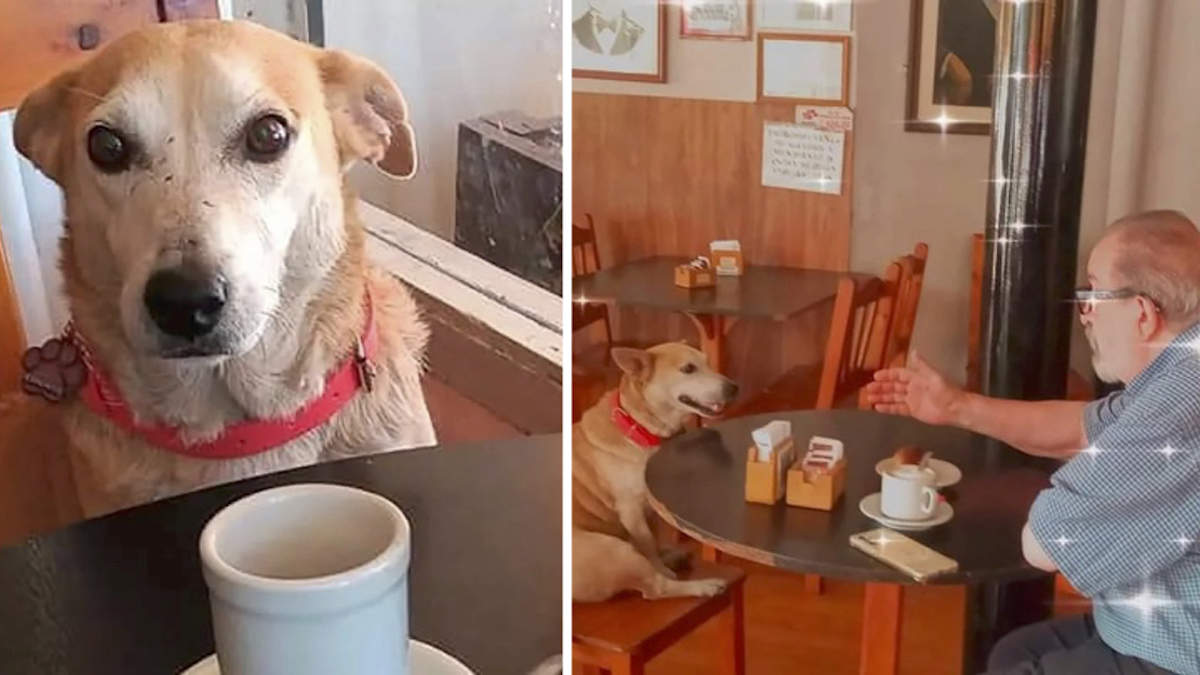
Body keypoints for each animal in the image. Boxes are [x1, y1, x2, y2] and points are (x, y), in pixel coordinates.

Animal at [571, 341, 739, 598]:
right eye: (688, 369)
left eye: (708, 362)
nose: (734, 388)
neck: (639, 427)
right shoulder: (631, 511)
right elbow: (648, 543)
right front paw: (660, 565)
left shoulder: (653, 505)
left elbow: (654, 538)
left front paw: (663, 556)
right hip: (615, 550)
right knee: (655, 588)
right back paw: (703, 585)